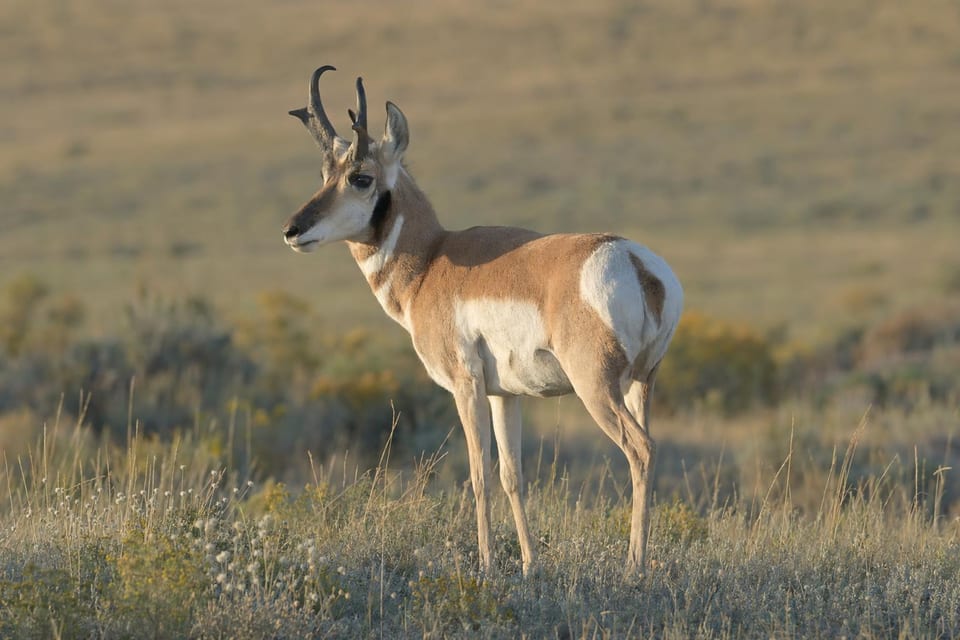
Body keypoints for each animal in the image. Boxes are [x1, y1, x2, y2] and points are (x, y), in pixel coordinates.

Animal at [281, 66, 682, 577]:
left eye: (360, 177)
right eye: (323, 174)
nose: (292, 230)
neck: (432, 260)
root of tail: (634, 260)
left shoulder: (465, 385)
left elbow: (478, 476)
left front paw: (488, 565)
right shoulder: (504, 395)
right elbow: (512, 475)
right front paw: (530, 564)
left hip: (596, 388)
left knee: (640, 449)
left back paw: (635, 566)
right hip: (641, 384)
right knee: (645, 446)